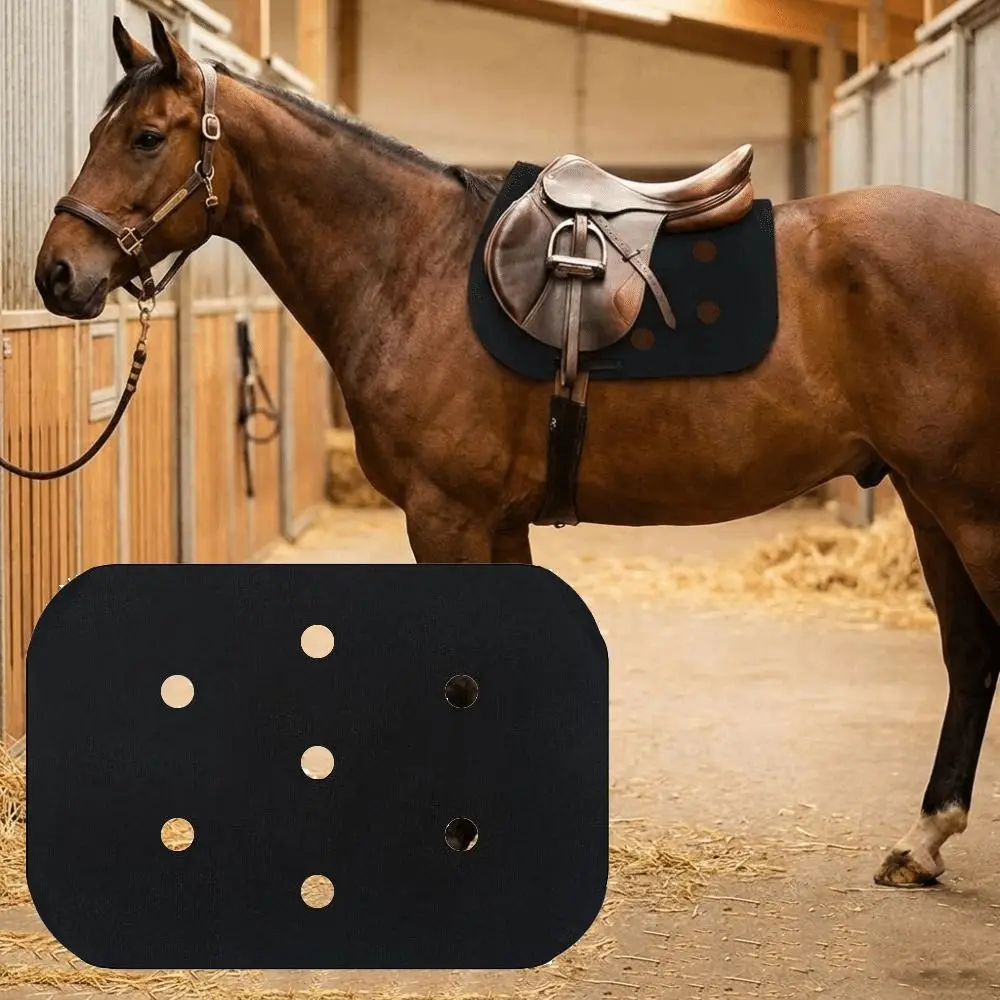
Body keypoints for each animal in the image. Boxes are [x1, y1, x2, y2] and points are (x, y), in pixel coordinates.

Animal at [33, 12, 1000, 890]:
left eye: (146, 137)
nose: (56, 274)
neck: (411, 267)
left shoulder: (446, 516)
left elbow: (460, 677)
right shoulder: (497, 523)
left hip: (970, 511)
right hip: (927, 504)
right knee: (969, 652)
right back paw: (921, 842)